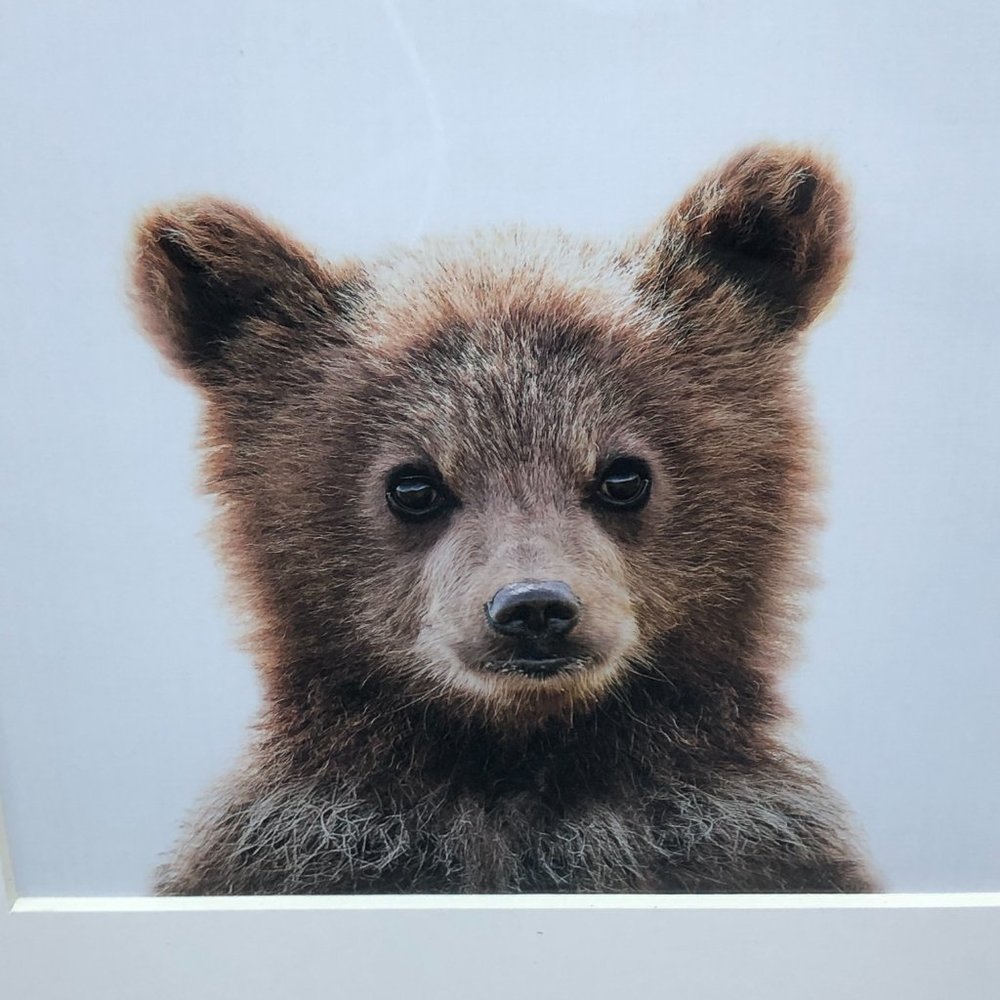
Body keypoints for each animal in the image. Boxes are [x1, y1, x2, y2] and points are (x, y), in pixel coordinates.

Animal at [131, 143, 876, 894]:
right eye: (414, 484)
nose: (534, 608)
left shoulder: (738, 842)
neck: (514, 759)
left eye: (623, 475)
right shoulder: (304, 847)